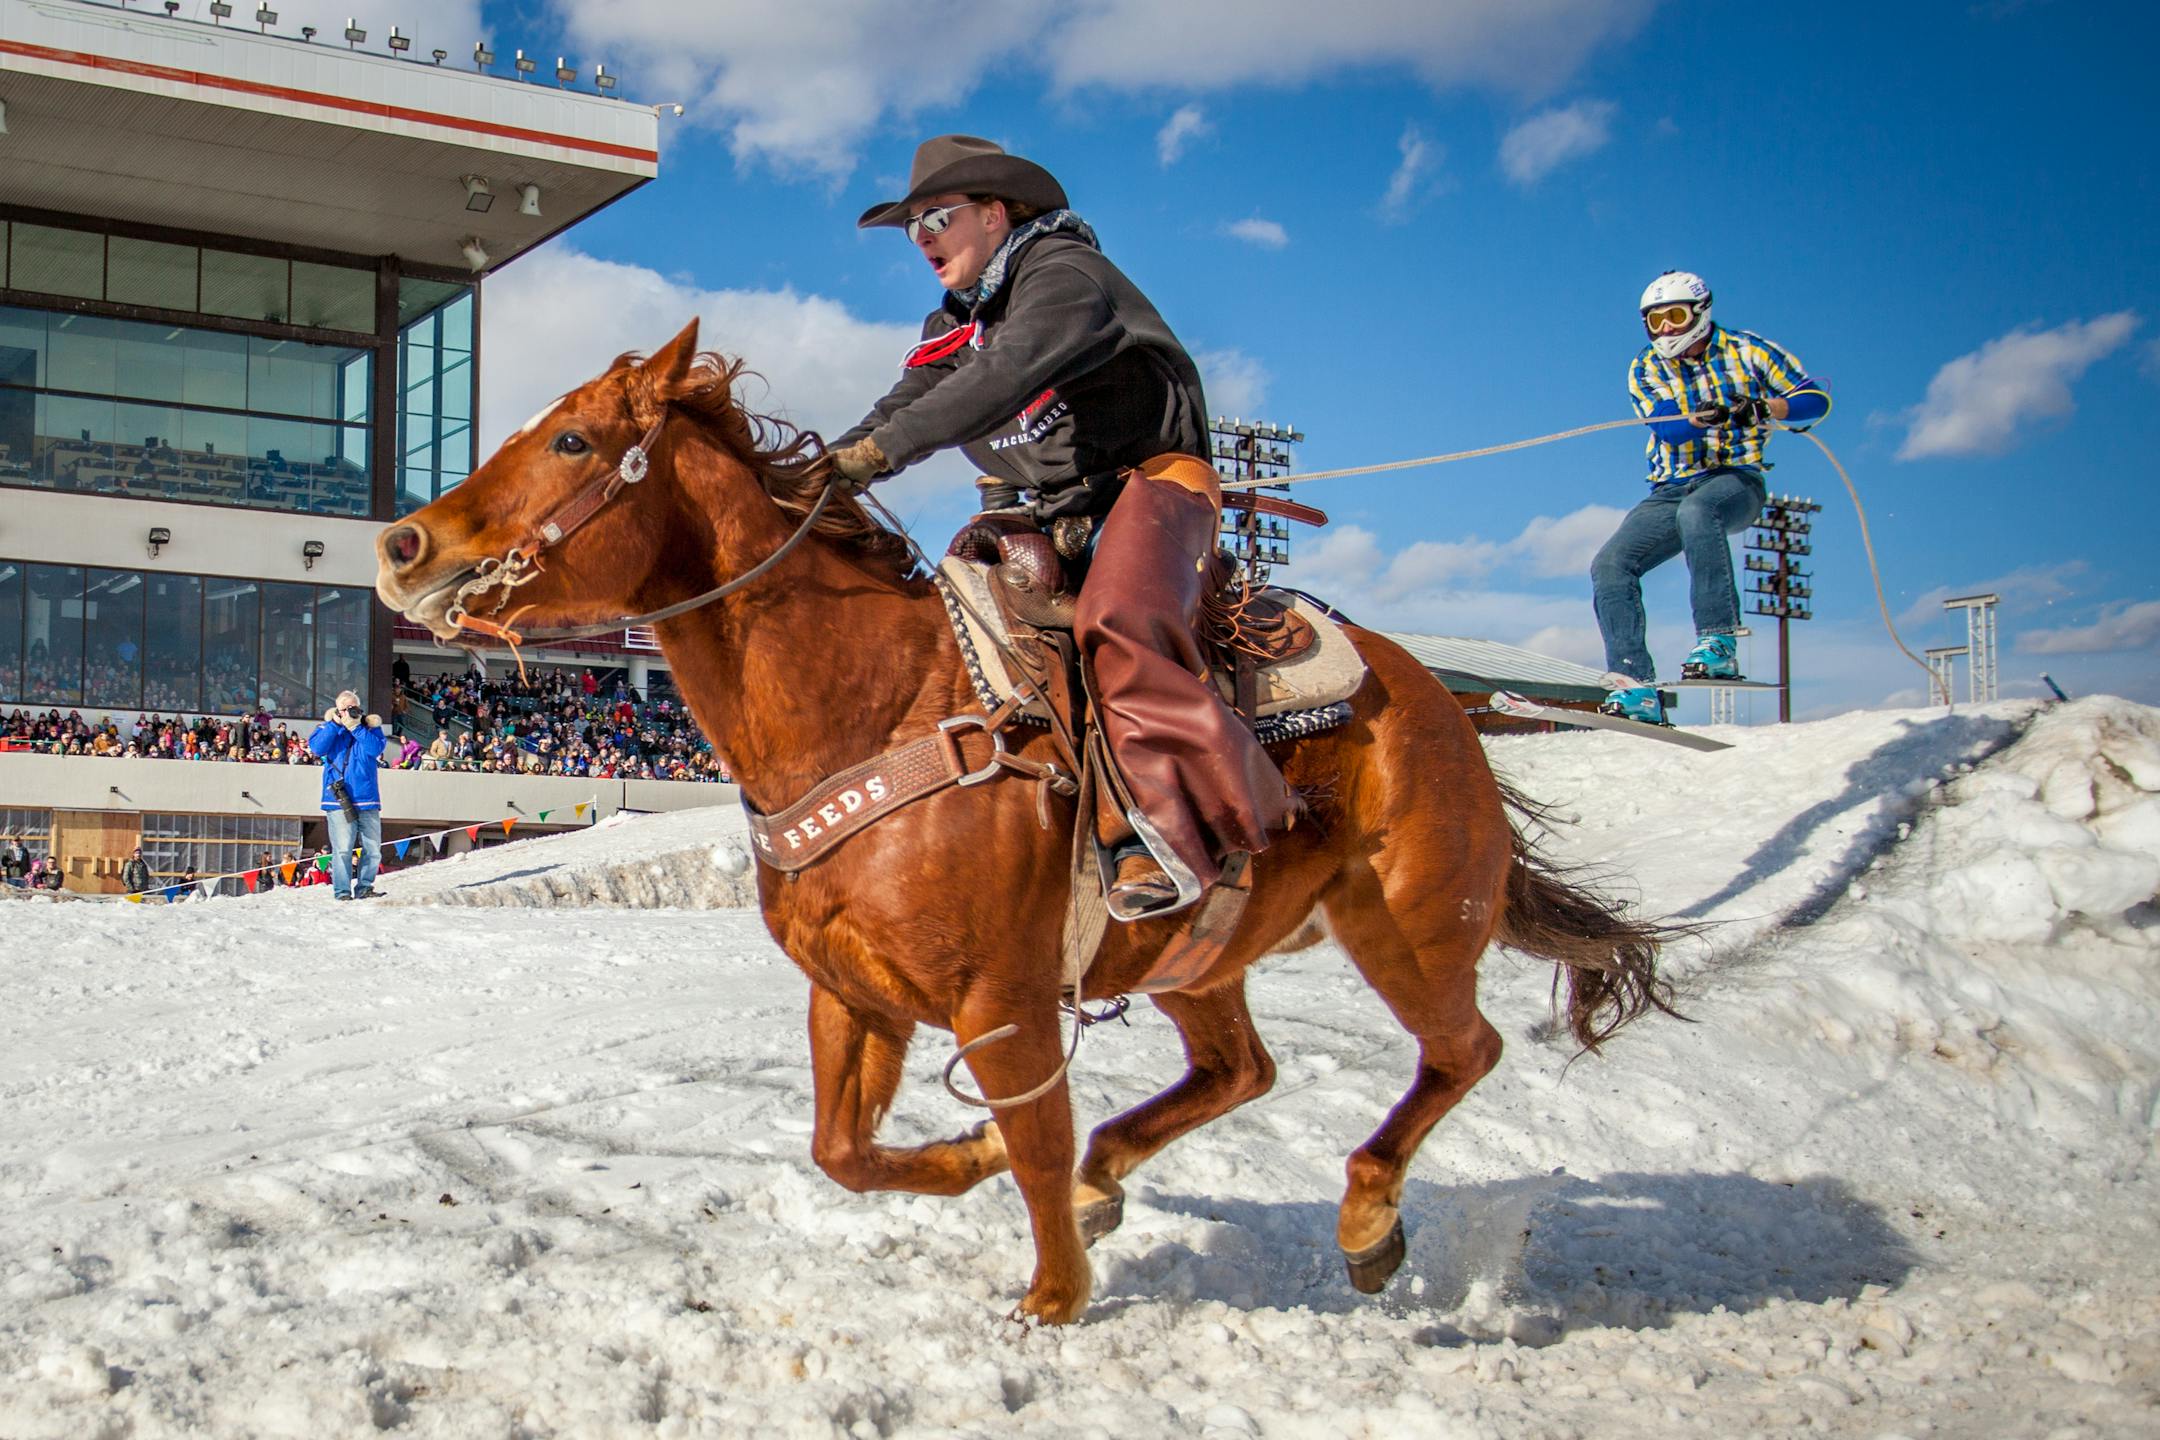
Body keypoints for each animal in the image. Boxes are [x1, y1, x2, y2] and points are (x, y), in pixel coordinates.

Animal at [375, 321, 1675, 1324]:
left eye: (573, 440)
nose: (403, 546)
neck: (875, 705)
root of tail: (1445, 706)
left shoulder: (998, 1003)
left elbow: (1034, 1135)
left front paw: (1052, 1299)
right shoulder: (852, 993)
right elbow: (845, 1150)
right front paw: (979, 1158)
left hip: (1409, 923)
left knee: (1464, 1052)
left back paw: (1364, 1216)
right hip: (1194, 953)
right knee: (1241, 1068)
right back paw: (1122, 1179)